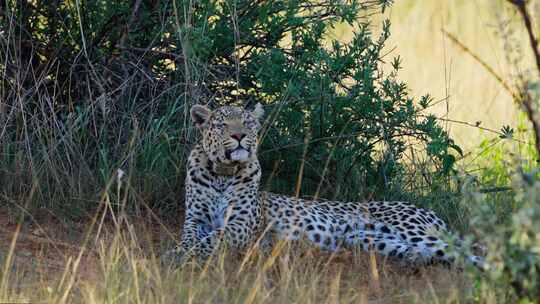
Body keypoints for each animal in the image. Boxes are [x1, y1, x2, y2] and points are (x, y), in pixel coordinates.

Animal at [166, 102, 486, 268]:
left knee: (473, 252)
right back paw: (417, 261)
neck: (222, 172)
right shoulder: (195, 219)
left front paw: (178, 255)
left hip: (416, 231)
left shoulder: (241, 225)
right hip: (370, 239)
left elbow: (212, 239)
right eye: (222, 125)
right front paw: (180, 250)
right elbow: (191, 236)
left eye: (248, 123)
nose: (239, 136)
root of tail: (427, 211)